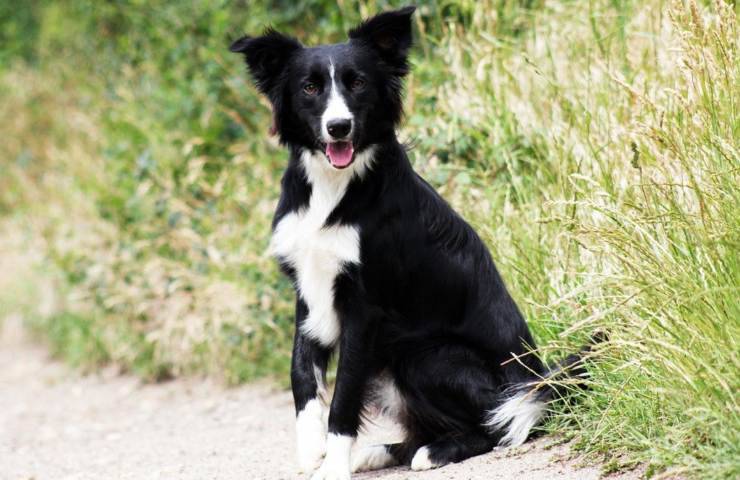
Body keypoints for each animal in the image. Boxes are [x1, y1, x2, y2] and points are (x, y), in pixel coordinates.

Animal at [233, 5, 588, 478]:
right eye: (309, 87)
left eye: (358, 82)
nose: (339, 127)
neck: (332, 189)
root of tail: (535, 383)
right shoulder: (308, 289)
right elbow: (301, 376)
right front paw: (312, 452)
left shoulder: (364, 308)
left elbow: (343, 397)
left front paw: (333, 465)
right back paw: (377, 452)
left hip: (426, 355)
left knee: (496, 426)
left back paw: (432, 452)